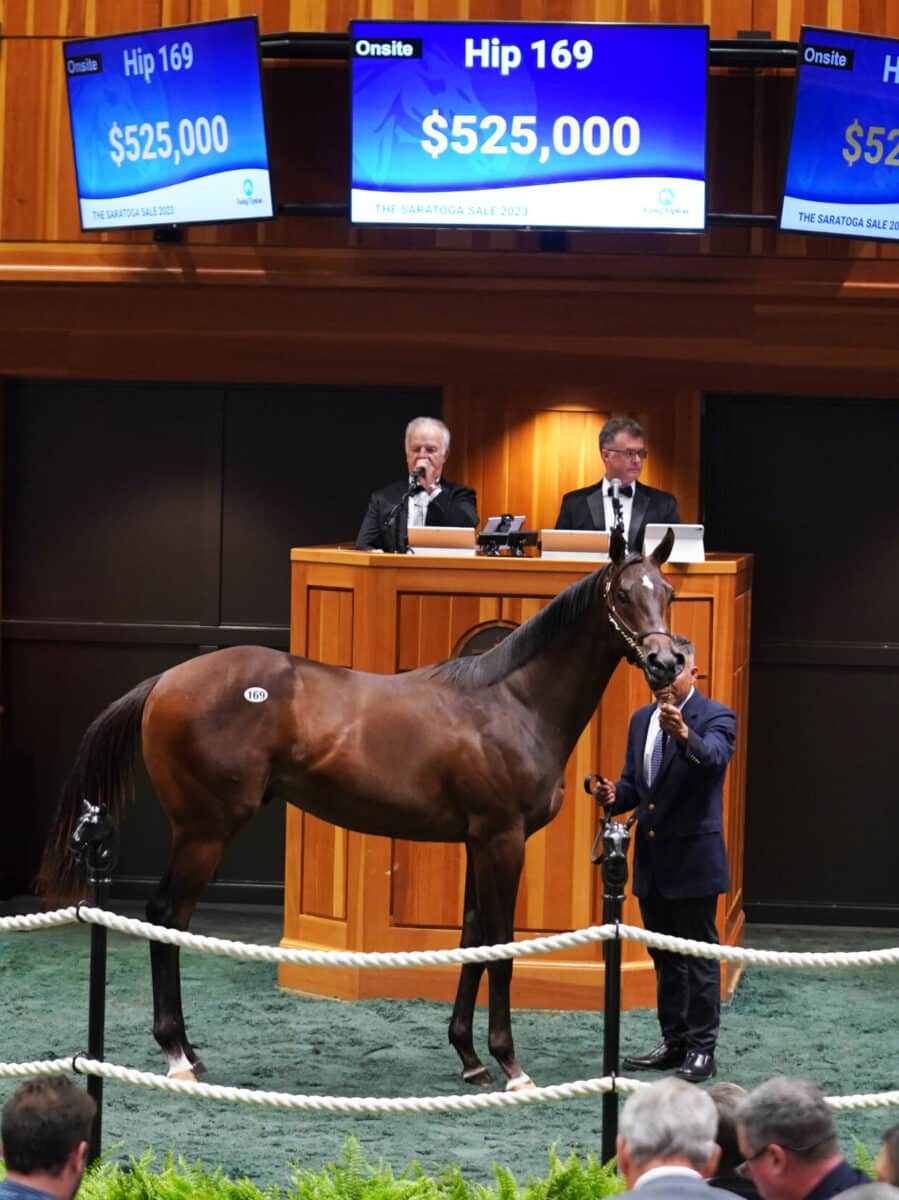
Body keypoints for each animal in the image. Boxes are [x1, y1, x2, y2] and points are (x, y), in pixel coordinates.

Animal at [38, 525, 676, 1089]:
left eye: (666, 593)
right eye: (624, 595)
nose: (665, 663)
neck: (510, 702)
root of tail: (167, 679)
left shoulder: (478, 839)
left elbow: (474, 936)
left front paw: (470, 1057)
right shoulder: (503, 838)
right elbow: (503, 946)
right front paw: (509, 1063)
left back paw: (189, 1051)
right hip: (205, 832)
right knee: (168, 916)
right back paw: (175, 1054)